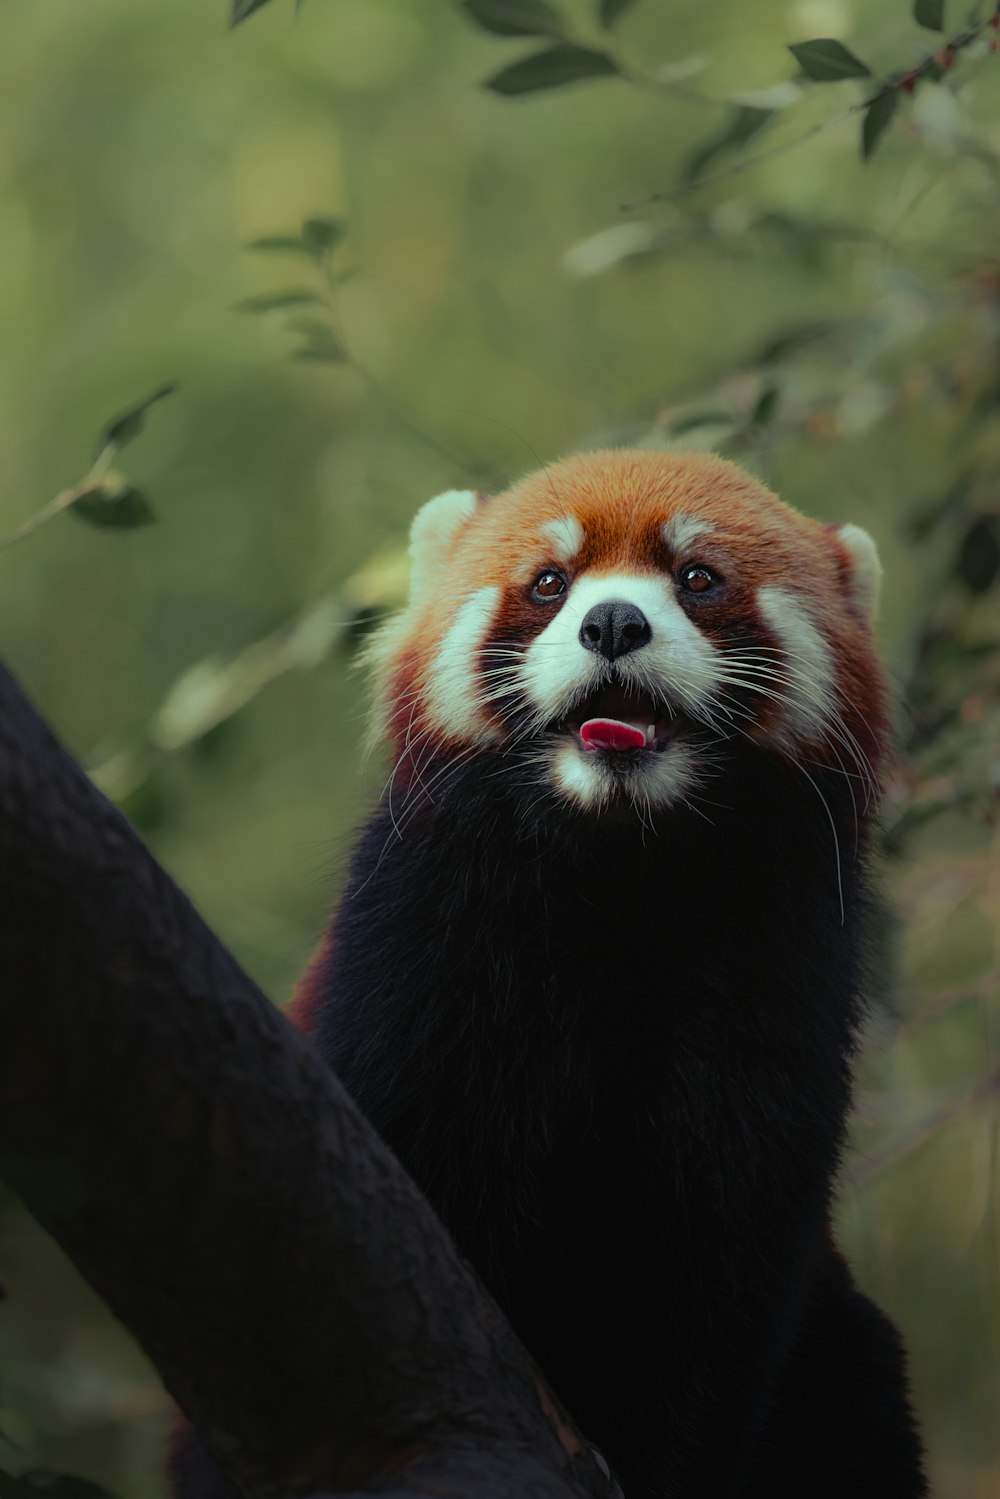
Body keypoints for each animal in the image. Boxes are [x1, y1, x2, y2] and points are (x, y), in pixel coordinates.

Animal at [167, 449, 929, 1499]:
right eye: (549, 583)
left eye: (698, 577)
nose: (613, 623)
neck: (620, 869)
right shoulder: (419, 960)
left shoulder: (774, 990)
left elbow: (713, 1288)